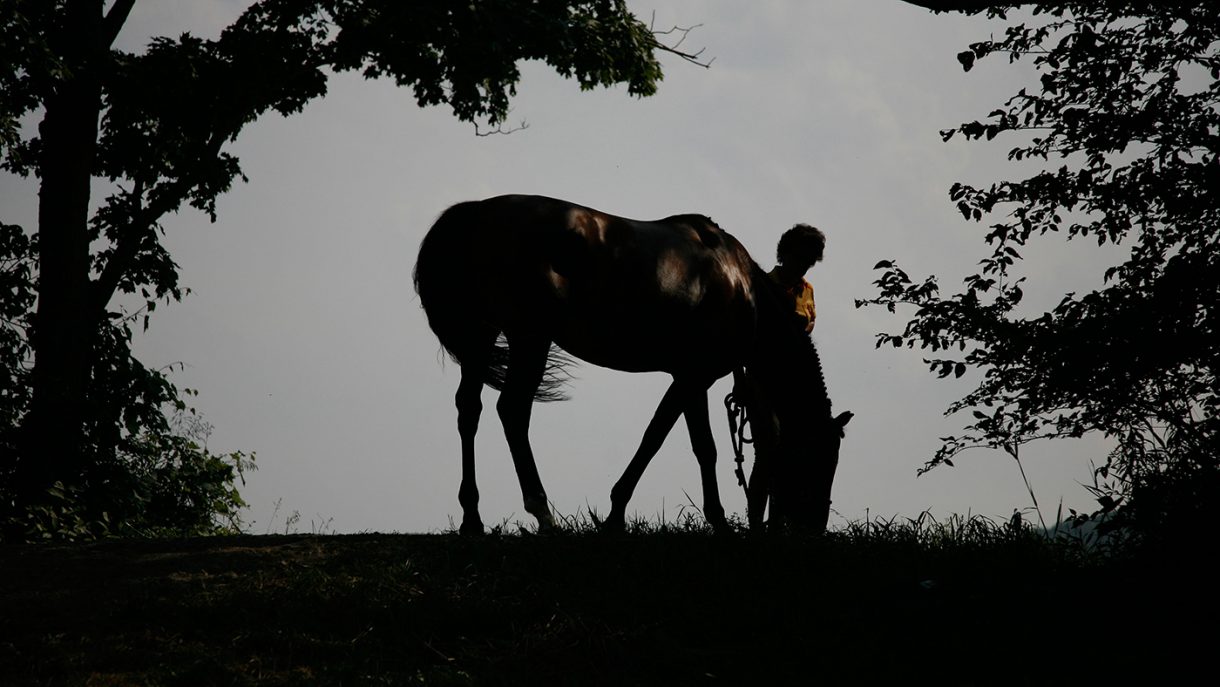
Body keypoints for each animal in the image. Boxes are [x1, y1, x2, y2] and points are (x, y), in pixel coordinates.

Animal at [413, 194, 851, 534]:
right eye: (820, 457)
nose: (814, 527)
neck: (745, 290)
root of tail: (477, 214)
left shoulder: (690, 377)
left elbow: (681, 442)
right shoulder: (694, 376)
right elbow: (676, 442)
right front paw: (706, 520)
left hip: (482, 336)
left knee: (470, 409)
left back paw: (472, 518)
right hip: (529, 338)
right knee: (513, 411)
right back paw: (544, 514)